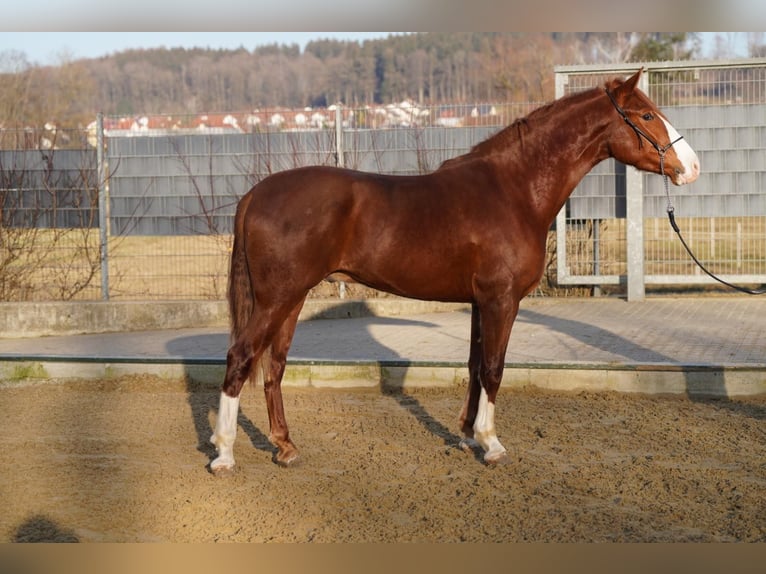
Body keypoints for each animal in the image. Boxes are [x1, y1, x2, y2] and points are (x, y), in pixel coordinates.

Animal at [212, 68, 704, 472]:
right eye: (646, 115)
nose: (693, 167)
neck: (515, 190)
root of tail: (255, 194)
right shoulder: (501, 300)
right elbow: (494, 368)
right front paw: (491, 443)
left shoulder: (479, 302)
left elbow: (473, 364)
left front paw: (467, 435)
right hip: (277, 298)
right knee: (240, 357)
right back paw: (223, 453)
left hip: (291, 299)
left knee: (274, 365)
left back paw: (285, 447)